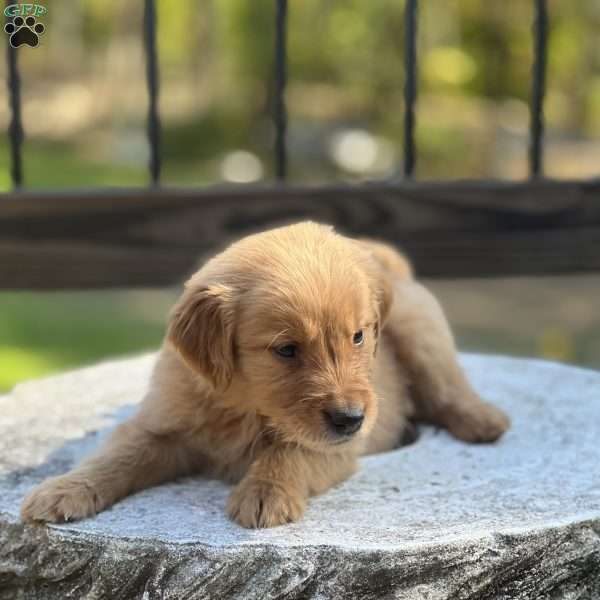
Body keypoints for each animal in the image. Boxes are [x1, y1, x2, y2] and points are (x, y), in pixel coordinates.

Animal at [21, 220, 508, 524]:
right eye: (286, 350)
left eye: (358, 336)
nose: (351, 418)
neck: (245, 405)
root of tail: (385, 259)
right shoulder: (162, 425)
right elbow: (118, 454)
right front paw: (63, 489)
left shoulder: (339, 445)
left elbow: (290, 450)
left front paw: (265, 492)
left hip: (418, 326)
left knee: (447, 385)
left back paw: (483, 420)